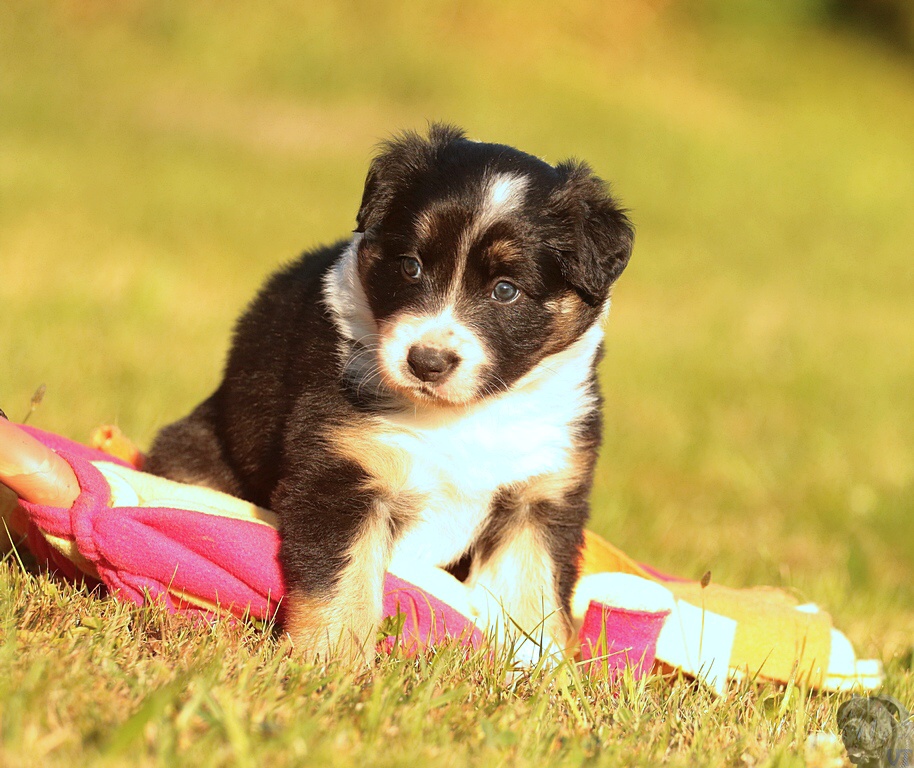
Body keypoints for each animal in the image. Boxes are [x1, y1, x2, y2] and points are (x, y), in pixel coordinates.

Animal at [145, 124, 634, 665]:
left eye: (506, 290)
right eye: (411, 266)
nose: (426, 362)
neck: (461, 416)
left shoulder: (539, 496)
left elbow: (530, 602)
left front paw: (533, 674)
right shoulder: (343, 470)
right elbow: (345, 586)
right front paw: (330, 664)